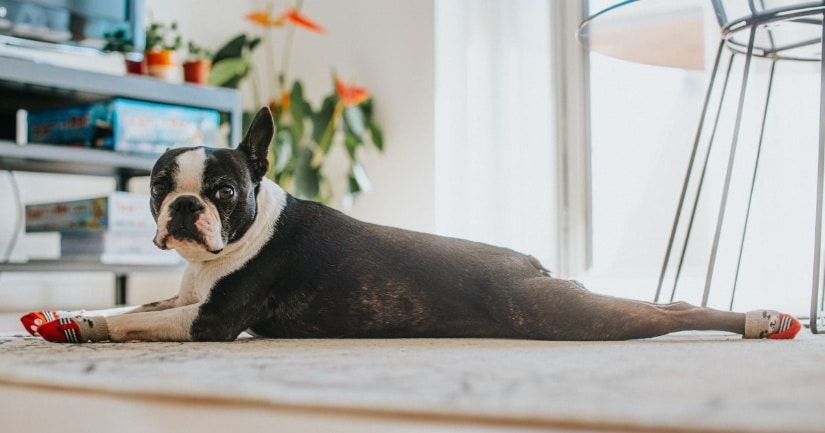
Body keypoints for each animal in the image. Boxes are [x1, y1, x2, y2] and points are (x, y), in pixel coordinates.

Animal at [22, 107, 800, 340]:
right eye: (159, 186)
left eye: (222, 190)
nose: (185, 208)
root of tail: (531, 265)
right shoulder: (183, 295)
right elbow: (133, 305)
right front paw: (75, 316)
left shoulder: (211, 321)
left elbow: (140, 324)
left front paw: (95, 328)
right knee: (666, 304)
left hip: (566, 314)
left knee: (666, 314)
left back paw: (758, 317)